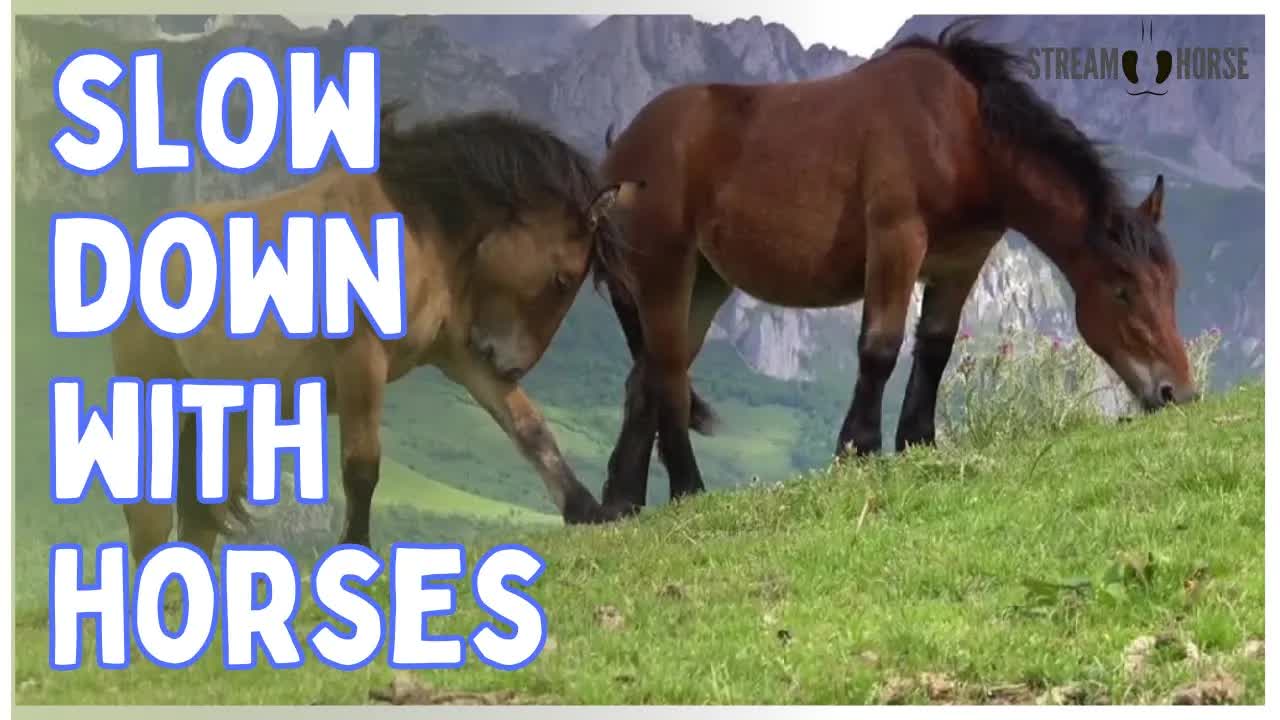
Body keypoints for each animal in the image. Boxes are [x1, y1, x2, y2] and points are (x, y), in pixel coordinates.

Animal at [111, 102, 640, 564]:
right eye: (564, 280)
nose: (510, 363)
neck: (413, 223)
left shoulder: (459, 356)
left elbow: (529, 429)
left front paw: (588, 510)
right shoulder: (361, 358)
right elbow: (361, 465)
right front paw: (356, 549)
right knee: (148, 517)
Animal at [597, 21, 1198, 515]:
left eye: (1171, 287)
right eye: (1122, 290)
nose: (1179, 394)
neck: (960, 134)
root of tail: (618, 153)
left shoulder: (960, 262)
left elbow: (934, 347)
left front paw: (917, 439)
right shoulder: (896, 240)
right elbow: (880, 347)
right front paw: (857, 447)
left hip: (704, 283)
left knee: (645, 379)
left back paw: (622, 501)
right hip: (665, 274)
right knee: (667, 377)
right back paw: (687, 489)